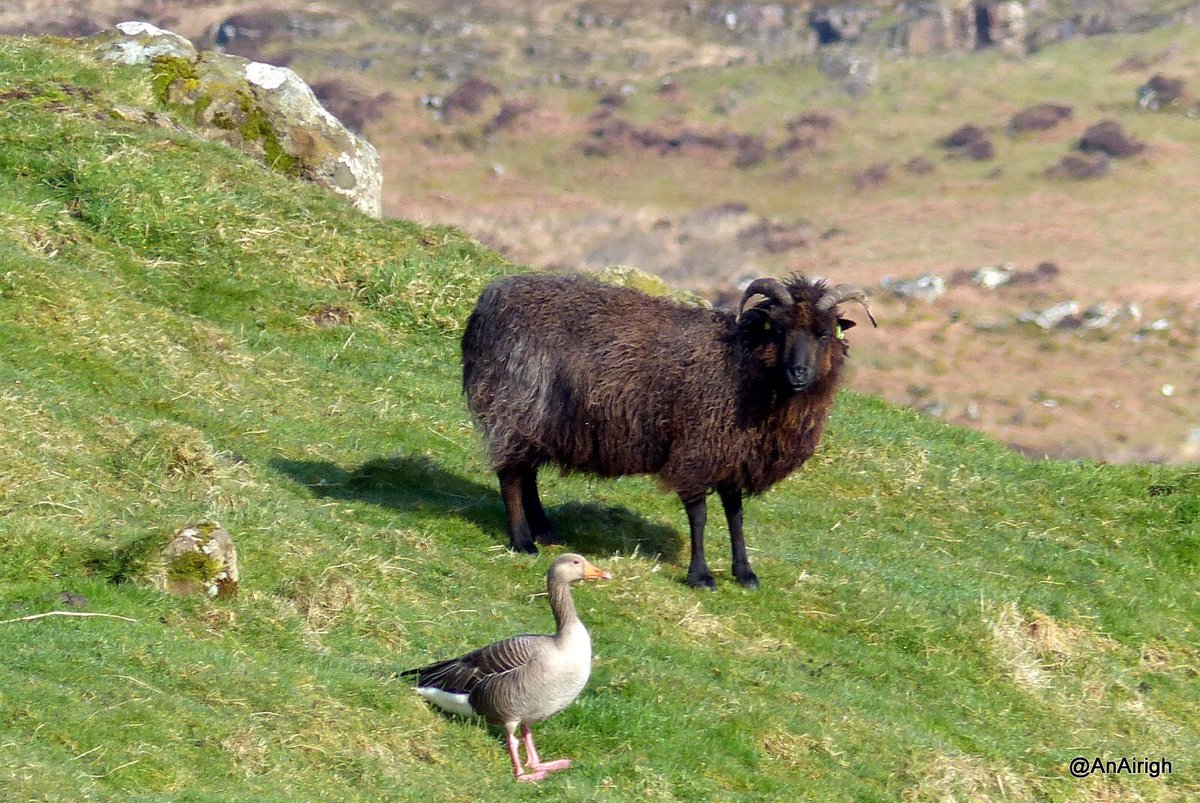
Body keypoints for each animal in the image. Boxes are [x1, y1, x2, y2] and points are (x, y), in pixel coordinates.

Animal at [461, 272, 874, 590]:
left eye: (824, 333)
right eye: (780, 329)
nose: (799, 373)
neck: (746, 366)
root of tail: (485, 304)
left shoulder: (731, 452)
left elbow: (735, 515)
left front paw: (744, 573)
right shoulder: (698, 448)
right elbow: (700, 515)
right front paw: (701, 576)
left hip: (539, 419)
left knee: (527, 471)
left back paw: (546, 533)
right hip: (517, 402)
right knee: (511, 473)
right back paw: (522, 541)